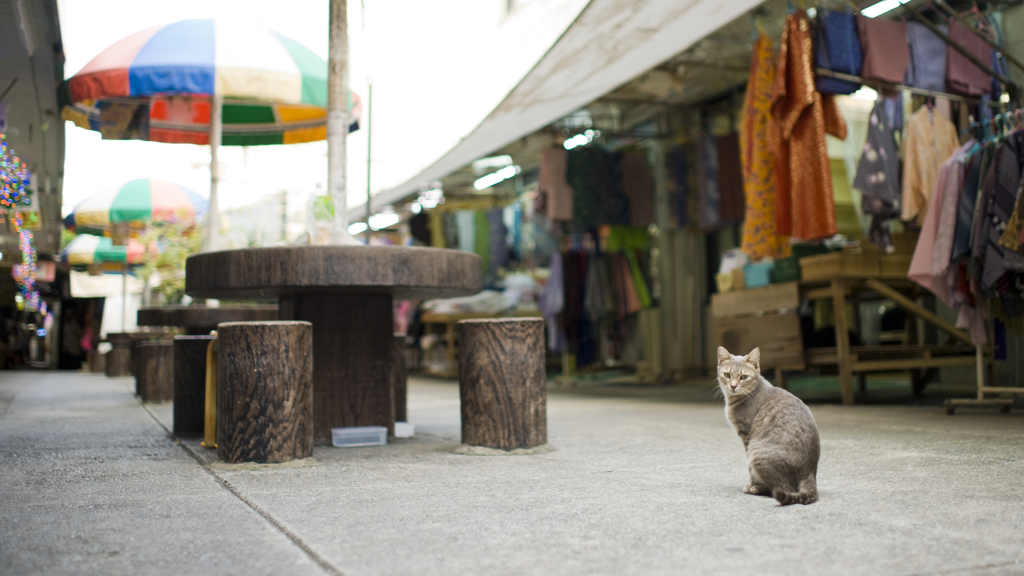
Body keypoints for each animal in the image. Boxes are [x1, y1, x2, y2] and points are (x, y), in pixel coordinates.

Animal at [720, 344, 823, 502]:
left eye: (743, 377)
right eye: (727, 375)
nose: (733, 386)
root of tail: (810, 474)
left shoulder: (747, 437)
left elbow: (750, 470)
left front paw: (752, 485)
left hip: (757, 453)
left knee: (784, 488)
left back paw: (758, 488)